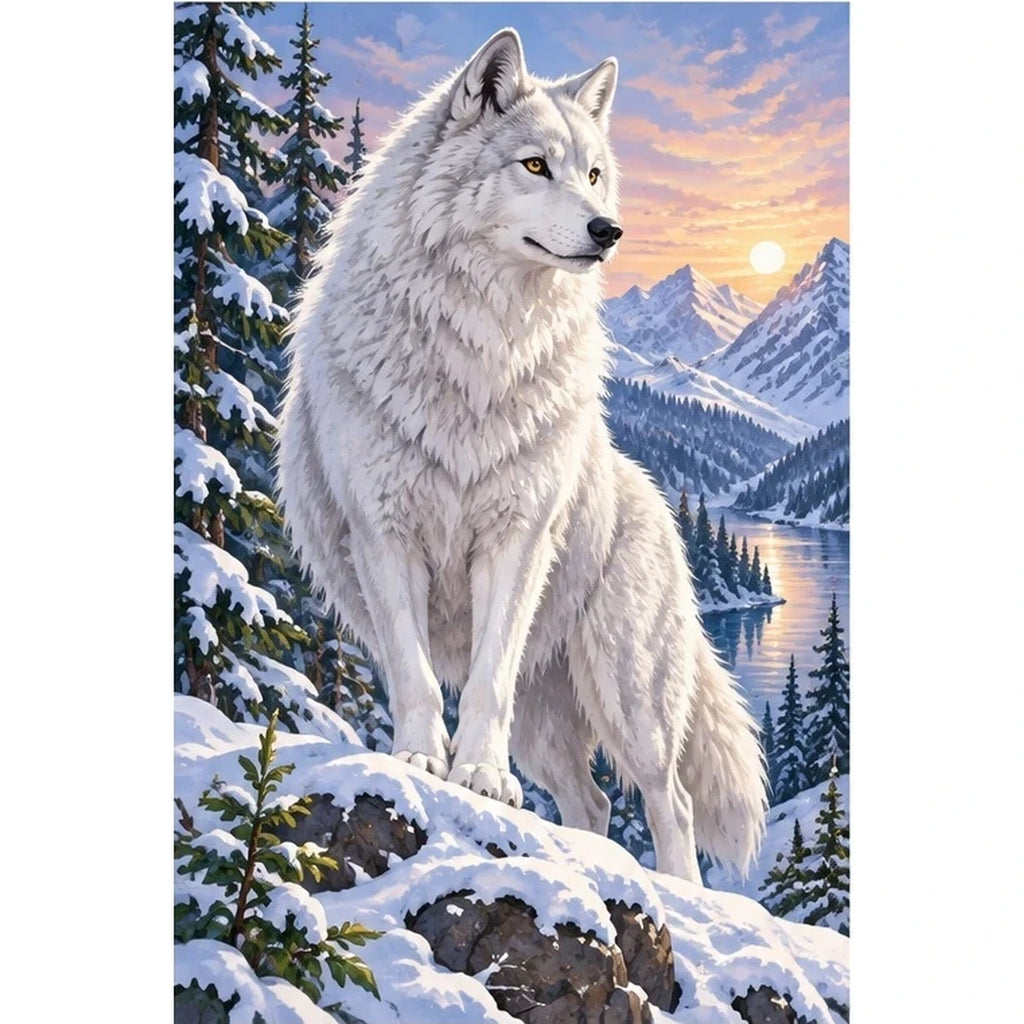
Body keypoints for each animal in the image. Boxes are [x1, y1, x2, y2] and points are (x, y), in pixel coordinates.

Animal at [277, 29, 766, 882]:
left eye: (595, 173)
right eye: (535, 166)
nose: (609, 231)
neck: (483, 348)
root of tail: (654, 497)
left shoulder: (516, 540)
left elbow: (485, 685)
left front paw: (477, 774)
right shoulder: (383, 534)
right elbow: (413, 672)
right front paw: (420, 760)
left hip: (626, 691)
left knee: (669, 801)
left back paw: (689, 893)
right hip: (555, 723)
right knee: (595, 804)